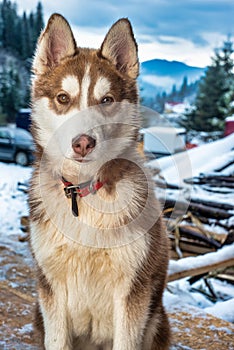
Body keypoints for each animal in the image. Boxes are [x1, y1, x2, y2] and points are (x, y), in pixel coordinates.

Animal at [29, 13, 172, 350]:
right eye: (63, 98)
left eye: (106, 100)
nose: (83, 143)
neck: (85, 193)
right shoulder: (50, 288)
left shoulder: (133, 291)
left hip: (156, 319)